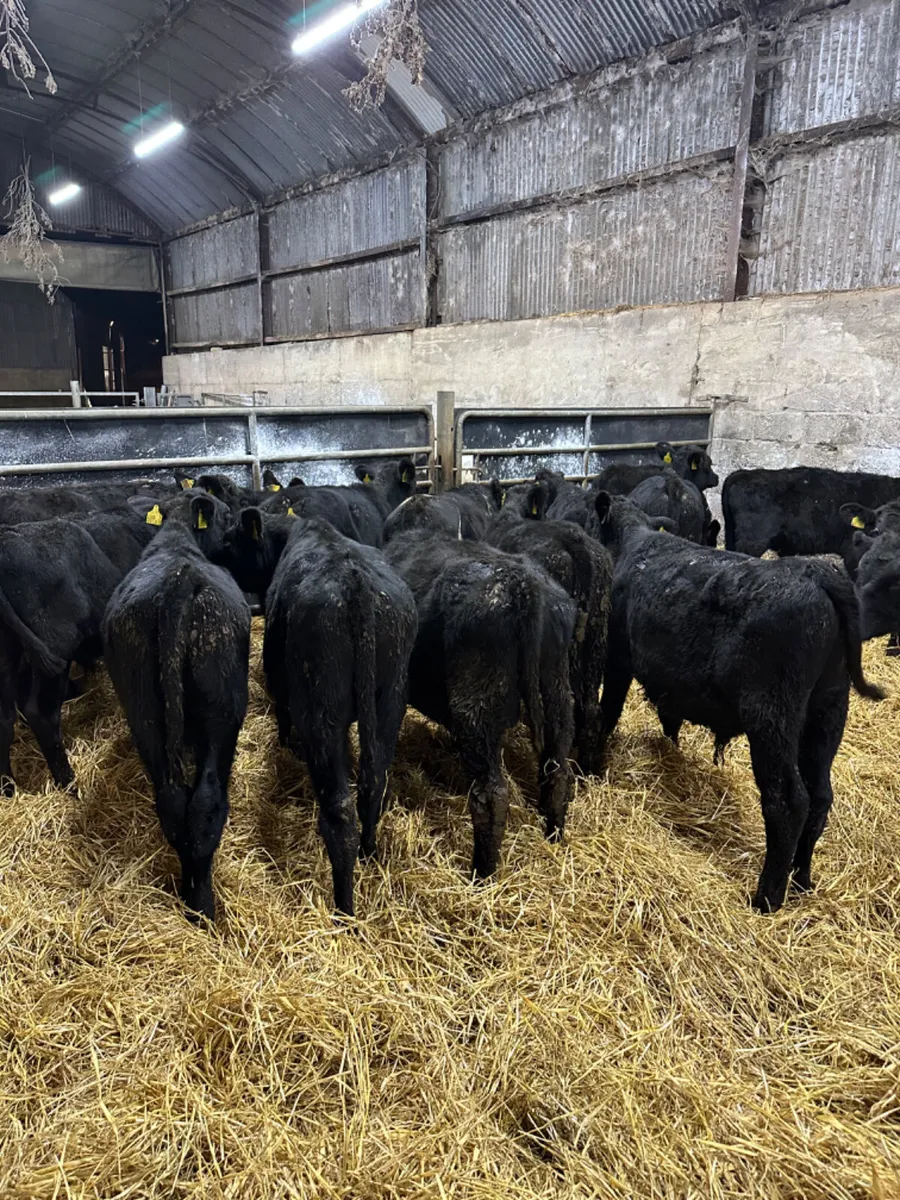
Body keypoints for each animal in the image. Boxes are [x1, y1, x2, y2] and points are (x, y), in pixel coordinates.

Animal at [103, 491, 250, 922]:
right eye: (225, 516)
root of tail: (177, 585)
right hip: (222, 713)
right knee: (204, 805)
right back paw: (203, 907)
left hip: (143, 713)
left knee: (173, 802)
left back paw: (190, 900)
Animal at [223, 509, 417, 916]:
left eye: (231, 540)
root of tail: (355, 585)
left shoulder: (276, 669)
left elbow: (281, 708)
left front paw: (285, 744)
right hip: (392, 698)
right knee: (374, 783)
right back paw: (370, 851)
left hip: (321, 712)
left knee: (339, 812)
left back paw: (344, 909)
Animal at [385, 530, 577, 879]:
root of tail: (524, 585)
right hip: (557, 697)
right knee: (558, 773)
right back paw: (553, 838)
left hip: (476, 711)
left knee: (492, 795)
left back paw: (482, 875)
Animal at [593, 490, 884, 913]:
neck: (634, 543)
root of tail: (815, 571)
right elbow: (669, 723)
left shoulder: (618, 658)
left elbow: (607, 714)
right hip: (829, 709)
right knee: (820, 797)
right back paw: (802, 880)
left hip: (772, 716)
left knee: (788, 801)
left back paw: (767, 898)